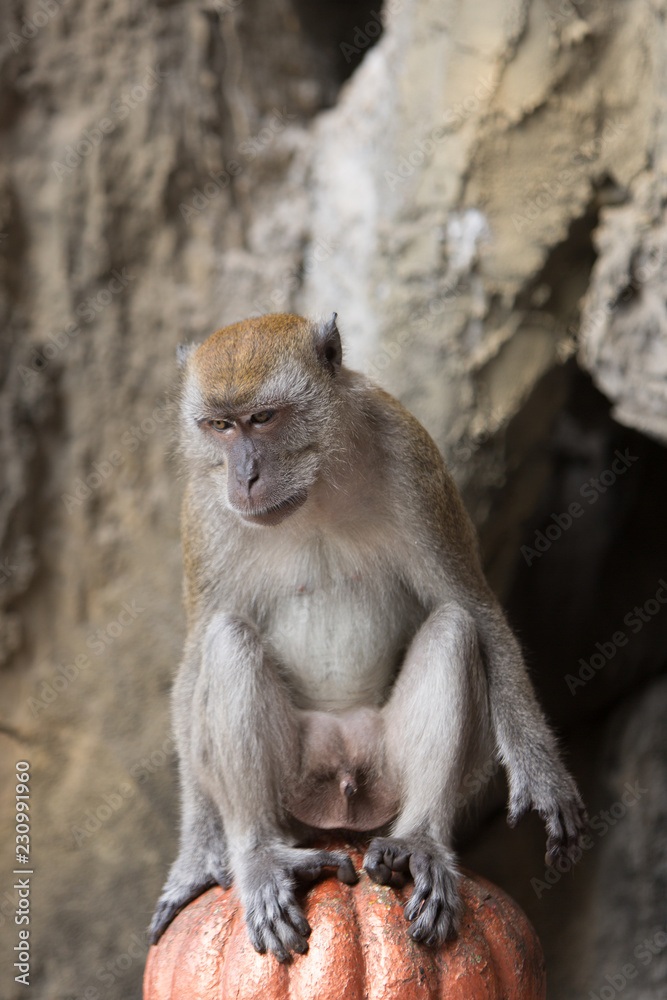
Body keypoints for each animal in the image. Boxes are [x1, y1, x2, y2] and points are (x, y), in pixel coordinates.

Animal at [150, 312, 587, 962]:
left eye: (263, 418)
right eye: (220, 426)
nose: (245, 476)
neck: (315, 488)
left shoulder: (412, 456)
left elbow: (475, 608)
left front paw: (541, 773)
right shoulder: (203, 507)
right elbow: (197, 653)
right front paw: (197, 858)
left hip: (387, 770)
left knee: (454, 629)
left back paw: (420, 845)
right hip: (300, 786)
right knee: (226, 641)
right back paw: (261, 858)